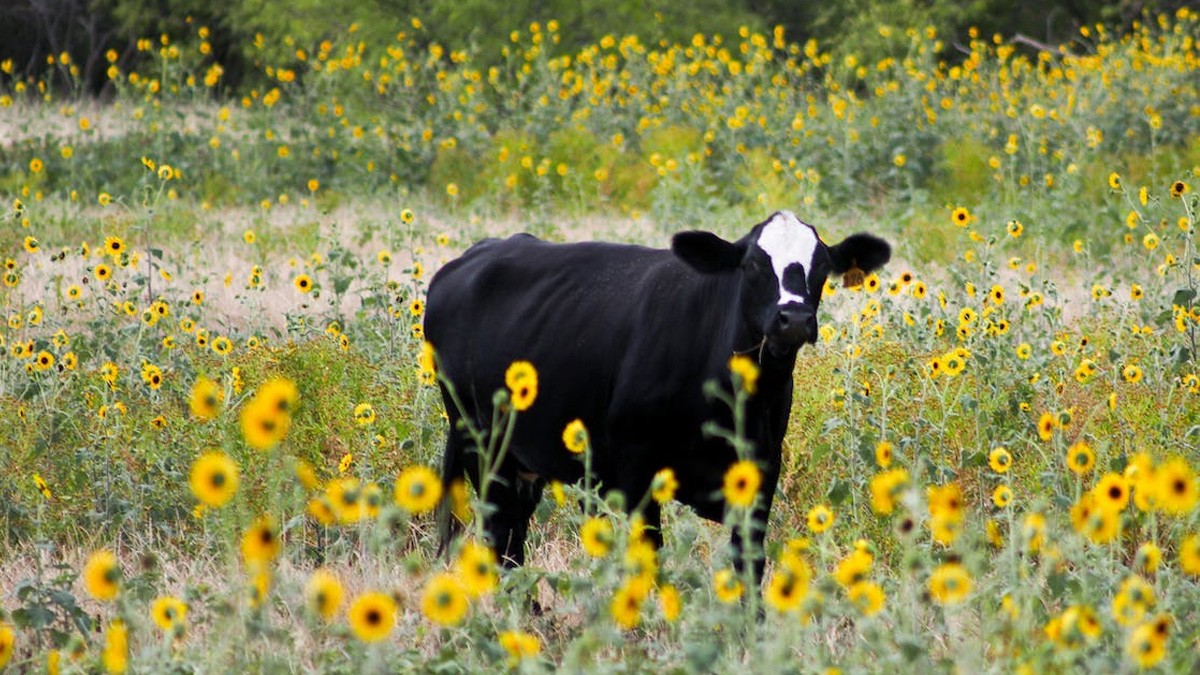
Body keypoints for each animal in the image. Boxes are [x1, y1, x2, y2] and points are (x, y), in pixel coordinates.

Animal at [426, 211, 891, 582]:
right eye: (753, 264)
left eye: (822, 266)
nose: (793, 318)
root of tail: (474, 255)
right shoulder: (637, 470)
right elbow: (648, 556)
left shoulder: (762, 469)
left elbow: (749, 564)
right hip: (482, 447)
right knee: (500, 540)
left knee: (512, 539)